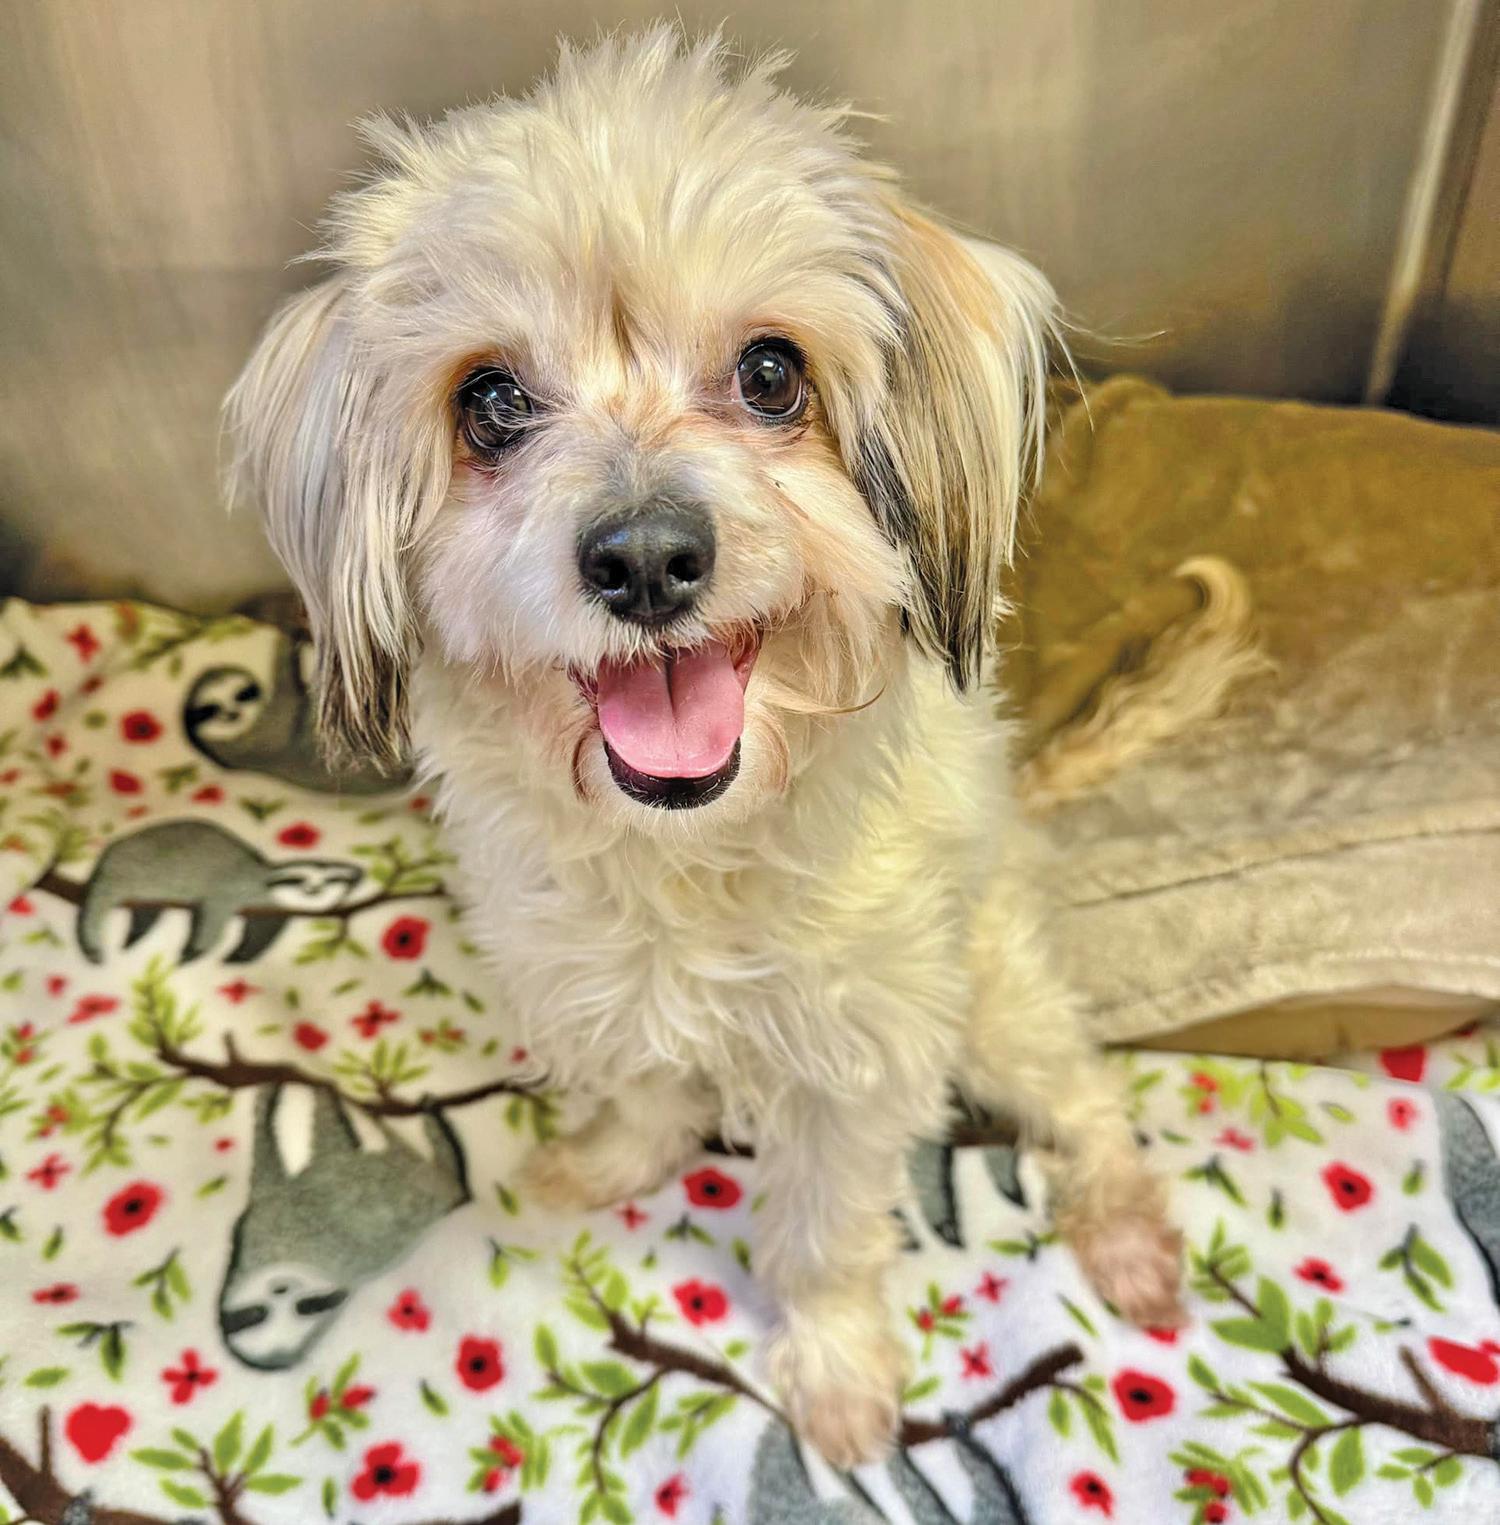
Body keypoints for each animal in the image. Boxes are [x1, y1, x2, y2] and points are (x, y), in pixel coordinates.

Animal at [227, 26, 1183, 1467]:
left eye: (772, 374)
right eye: (490, 400)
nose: (644, 558)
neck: (686, 851)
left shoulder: (859, 1060)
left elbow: (825, 1238)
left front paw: (835, 1377)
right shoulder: (594, 981)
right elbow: (640, 1089)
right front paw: (604, 1160)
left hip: (997, 1001)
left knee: (1087, 1101)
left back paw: (1125, 1233)